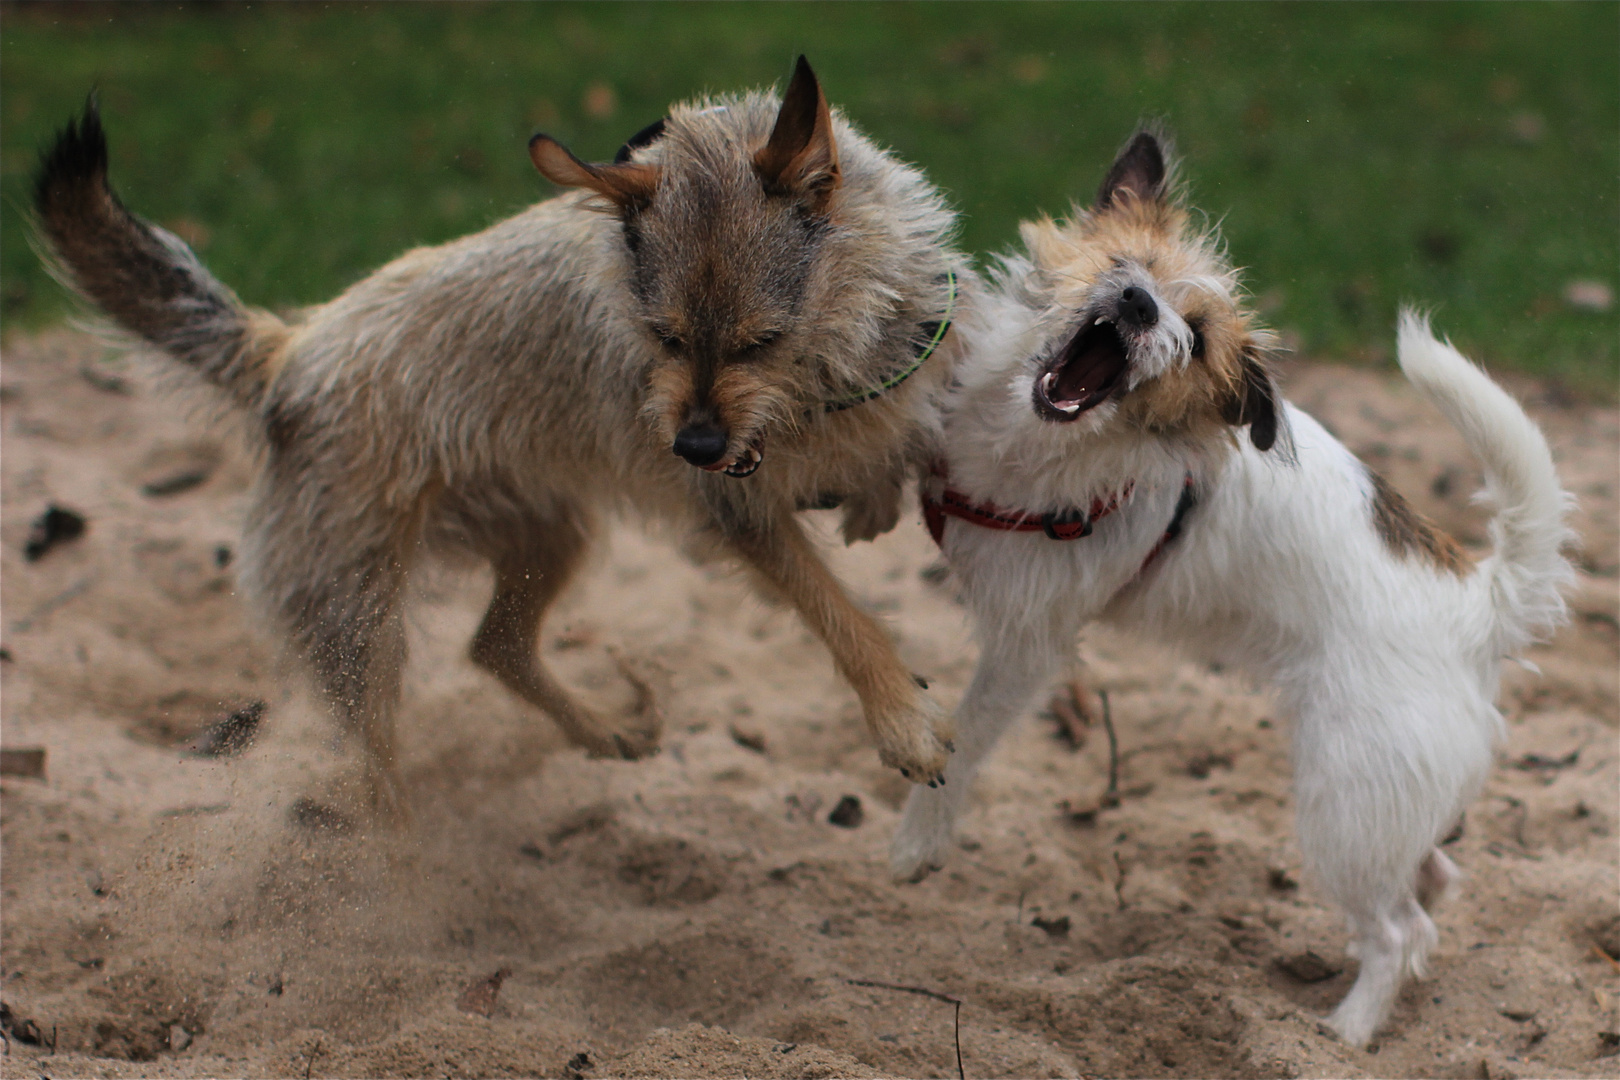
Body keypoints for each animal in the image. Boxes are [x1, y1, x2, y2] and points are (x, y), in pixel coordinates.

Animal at [38, 59, 965, 816]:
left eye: (759, 342)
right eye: (661, 338)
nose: (694, 449)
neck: (827, 382)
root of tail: (288, 353)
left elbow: (910, 455)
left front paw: (874, 503)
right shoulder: (741, 516)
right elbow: (840, 613)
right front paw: (903, 719)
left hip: (548, 531)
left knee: (495, 645)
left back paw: (600, 727)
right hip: (358, 625)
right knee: (373, 772)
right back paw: (404, 876)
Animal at [894, 128, 1574, 1049]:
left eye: (1197, 334)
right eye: (1131, 263)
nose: (1140, 306)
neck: (1033, 439)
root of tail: (1477, 606)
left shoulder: (1028, 642)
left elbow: (961, 739)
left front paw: (919, 839)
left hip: (1344, 806)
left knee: (1403, 932)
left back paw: (1345, 1034)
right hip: (1386, 810)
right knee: (1433, 876)